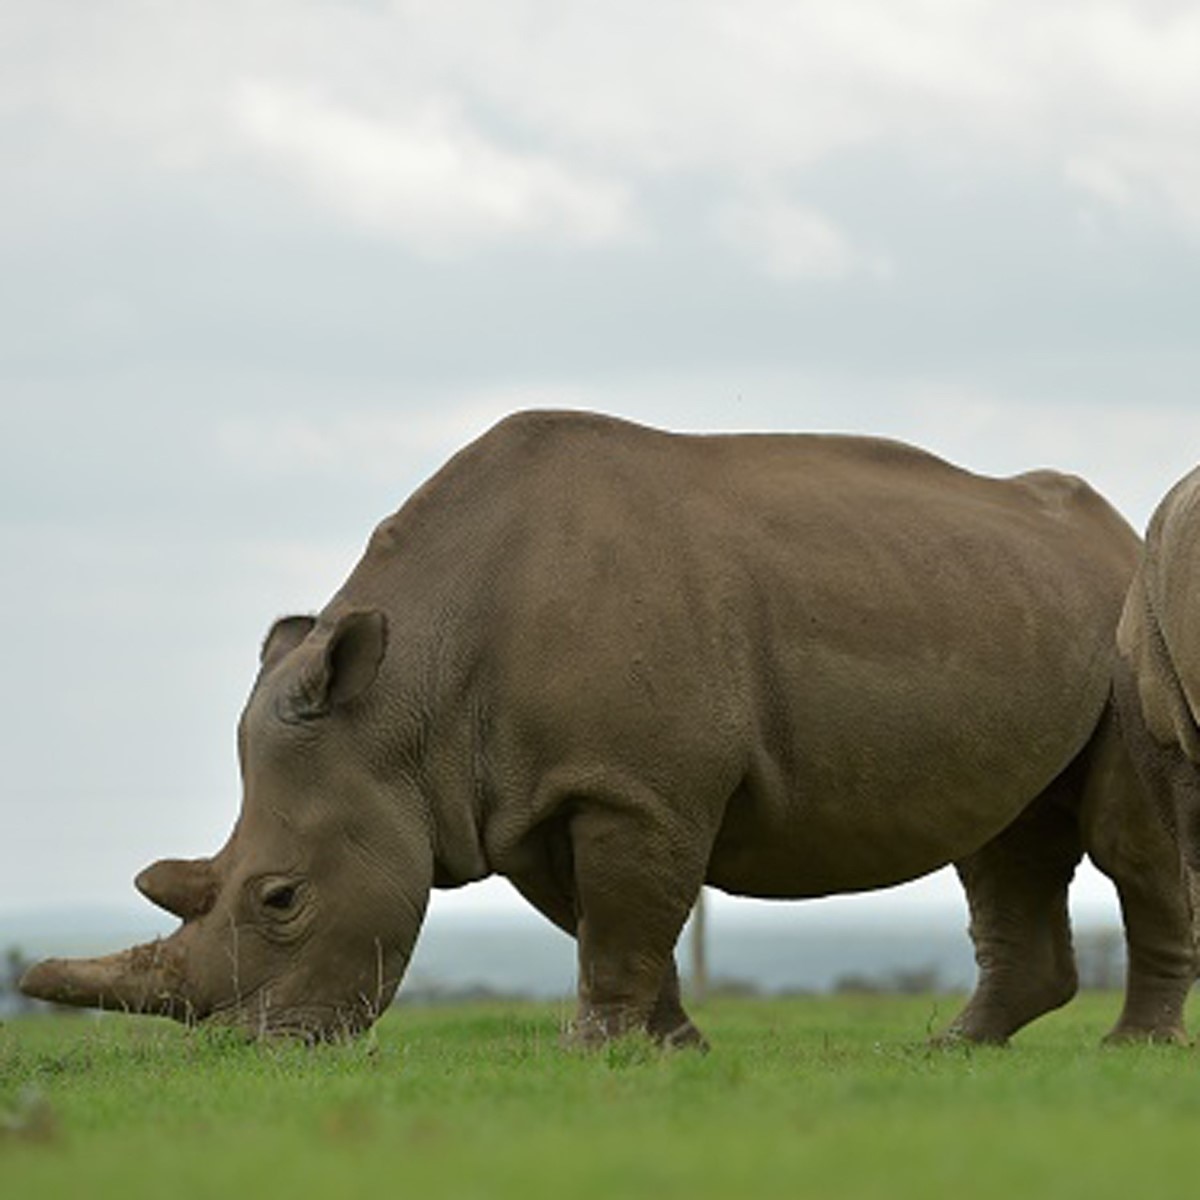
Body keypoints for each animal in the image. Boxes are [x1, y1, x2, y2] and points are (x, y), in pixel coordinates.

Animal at [21, 411, 1196, 1045]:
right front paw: (670, 1050)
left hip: (1132, 625)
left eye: (280, 898)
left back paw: (1125, 1052)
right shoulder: (527, 794)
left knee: (1129, 840)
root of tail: (1111, 527)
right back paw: (953, 1051)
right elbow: (615, 923)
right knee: (1002, 842)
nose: (253, 1051)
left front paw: (596, 1053)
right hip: (1009, 602)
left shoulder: (636, 784)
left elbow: (628, 918)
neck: (404, 700)